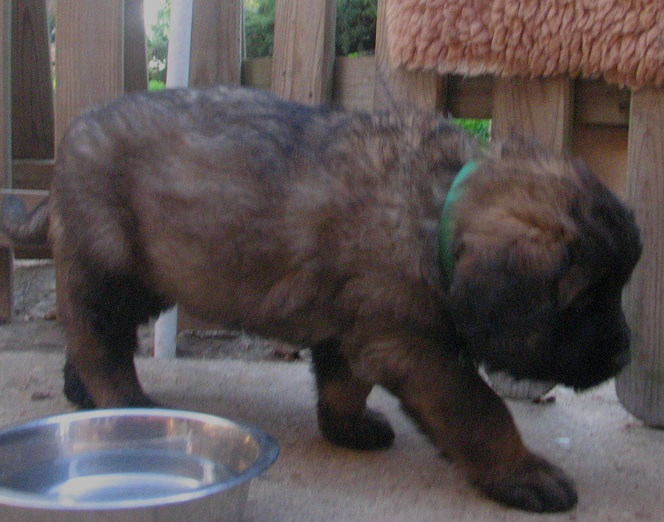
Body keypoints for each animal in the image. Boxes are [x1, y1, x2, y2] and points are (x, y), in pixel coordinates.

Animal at [49, 85, 641, 513]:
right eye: (584, 300)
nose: (623, 355)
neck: (434, 215)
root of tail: (75, 129)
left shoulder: (357, 327)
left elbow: (343, 385)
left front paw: (347, 429)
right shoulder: (412, 345)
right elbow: (480, 409)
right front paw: (523, 472)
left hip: (150, 280)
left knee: (86, 334)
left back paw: (83, 392)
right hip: (113, 265)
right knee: (97, 338)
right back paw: (124, 401)